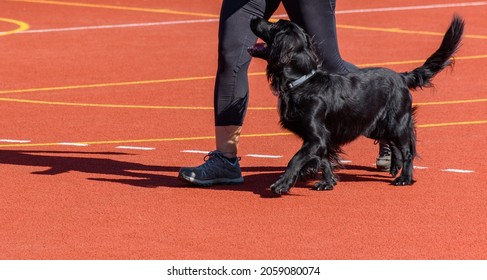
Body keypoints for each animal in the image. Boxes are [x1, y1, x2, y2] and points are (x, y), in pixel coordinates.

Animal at [250, 15, 468, 195]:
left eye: (275, 26)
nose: (253, 18)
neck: (303, 81)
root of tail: (401, 77)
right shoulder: (322, 138)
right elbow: (324, 160)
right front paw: (327, 183)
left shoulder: (315, 137)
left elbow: (295, 159)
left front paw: (282, 184)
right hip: (374, 124)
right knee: (392, 142)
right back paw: (394, 167)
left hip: (396, 122)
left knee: (407, 150)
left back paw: (404, 178)